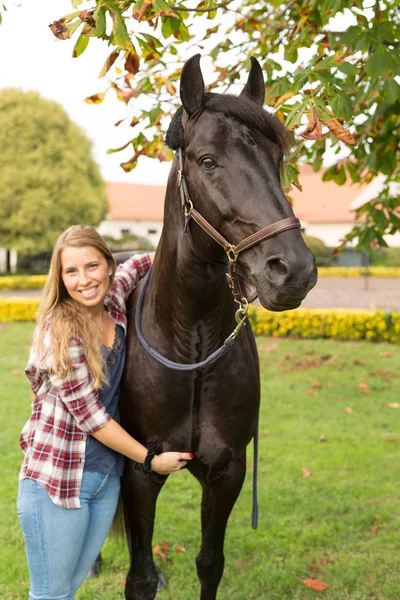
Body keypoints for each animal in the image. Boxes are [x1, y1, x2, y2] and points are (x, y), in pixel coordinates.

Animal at [118, 56, 316, 600]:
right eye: (207, 160)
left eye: (278, 157)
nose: (293, 270)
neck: (190, 351)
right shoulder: (139, 474)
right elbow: (140, 576)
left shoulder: (228, 473)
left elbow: (210, 563)